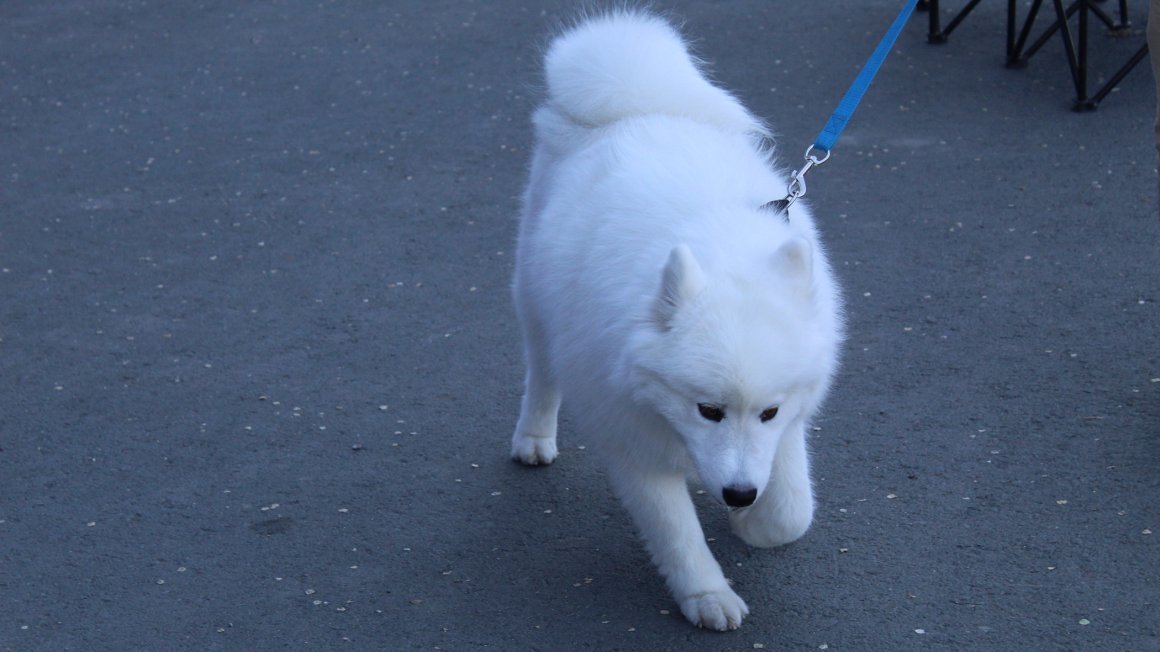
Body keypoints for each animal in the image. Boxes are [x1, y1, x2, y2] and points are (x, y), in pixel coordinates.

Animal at [508, 10, 844, 631]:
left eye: (768, 412)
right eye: (707, 410)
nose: (738, 494)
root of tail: (637, 105)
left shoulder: (788, 423)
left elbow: (792, 511)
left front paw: (753, 524)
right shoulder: (630, 440)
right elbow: (675, 533)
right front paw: (707, 595)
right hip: (534, 298)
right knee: (542, 372)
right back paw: (534, 437)